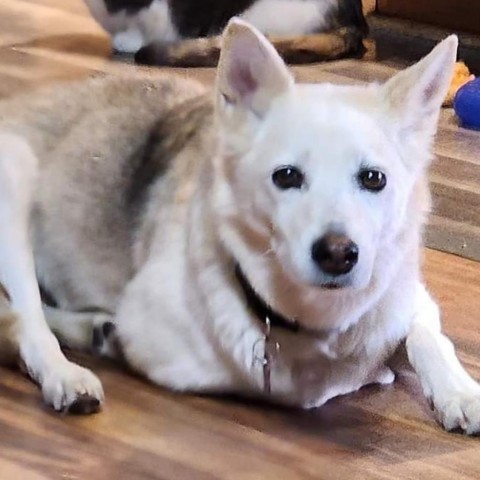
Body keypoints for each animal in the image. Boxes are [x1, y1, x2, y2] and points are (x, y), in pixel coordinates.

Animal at [0, 17, 478, 432]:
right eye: (287, 176)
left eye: (374, 179)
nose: (338, 254)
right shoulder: (163, 346)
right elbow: (316, 384)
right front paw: (371, 374)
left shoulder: (410, 296)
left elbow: (428, 337)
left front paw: (461, 393)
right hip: (15, 178)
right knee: (26, 321)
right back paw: (67, 370)